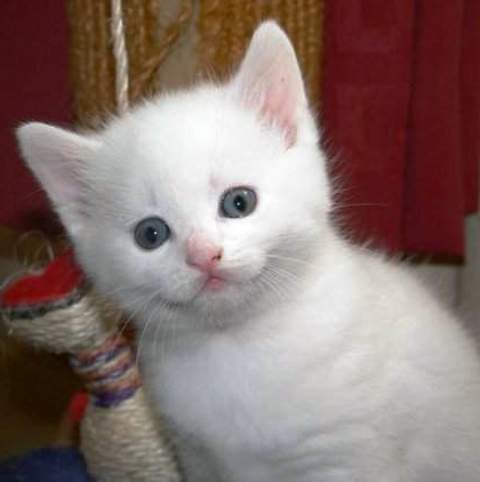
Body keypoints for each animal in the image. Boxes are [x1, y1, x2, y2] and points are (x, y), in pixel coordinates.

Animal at [15, 20, 480, 480]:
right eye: (150, 234)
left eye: (239, 202)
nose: (204, 255)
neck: (238, 344)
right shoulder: (198, 459)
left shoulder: (347, 456)